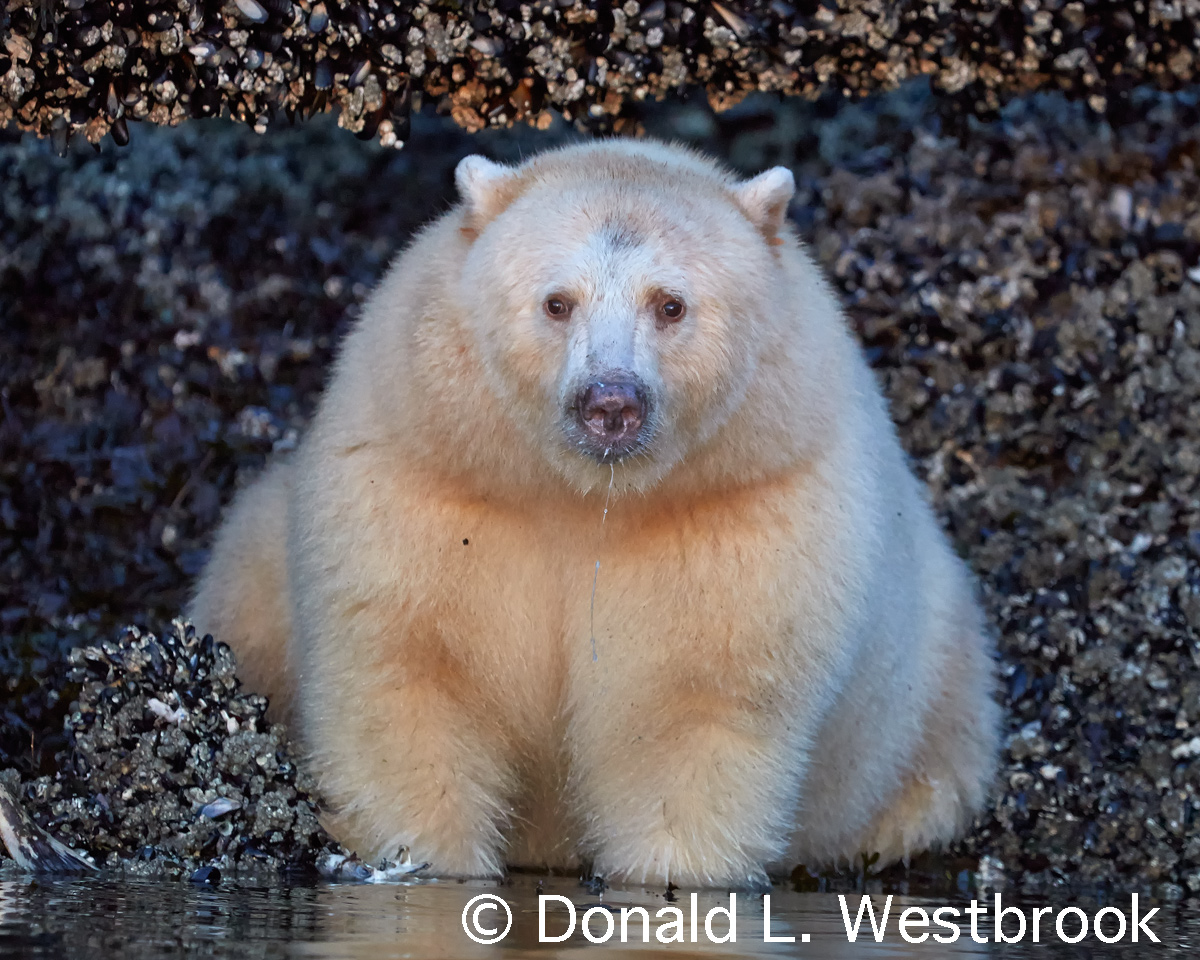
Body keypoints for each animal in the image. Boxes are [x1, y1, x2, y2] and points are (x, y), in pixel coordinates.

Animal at [188, 139, 1000, 888]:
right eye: (557, 301)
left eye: (669, 304)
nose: (611, 402)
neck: (584, 502)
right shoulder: (429, 484)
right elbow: (412, 674)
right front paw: (415, 863)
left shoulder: (747, 518)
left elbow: (690, 710)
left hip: (941, 696)